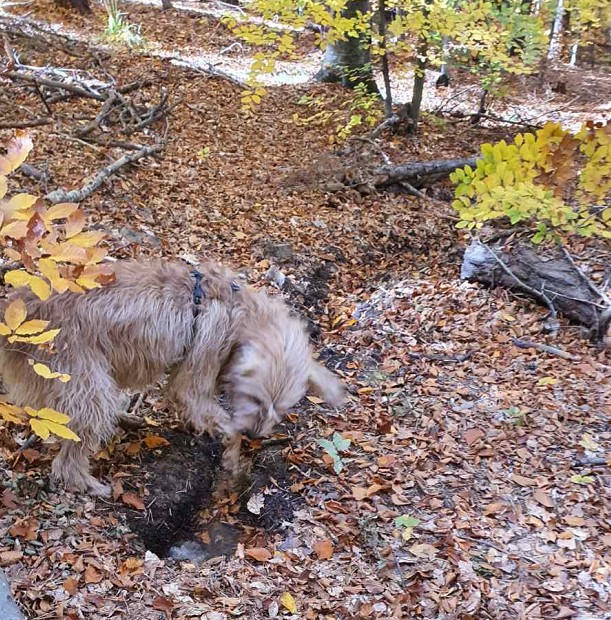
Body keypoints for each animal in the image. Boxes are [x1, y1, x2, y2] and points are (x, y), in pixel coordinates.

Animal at [0, 260, 344, 496]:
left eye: (281, 409)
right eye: (256, 400)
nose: (256, 435)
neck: (239, 311)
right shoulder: (200, 368)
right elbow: (219, 419)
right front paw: (234, 458)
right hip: (85, 381)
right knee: (71, 451)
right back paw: (85, 482)